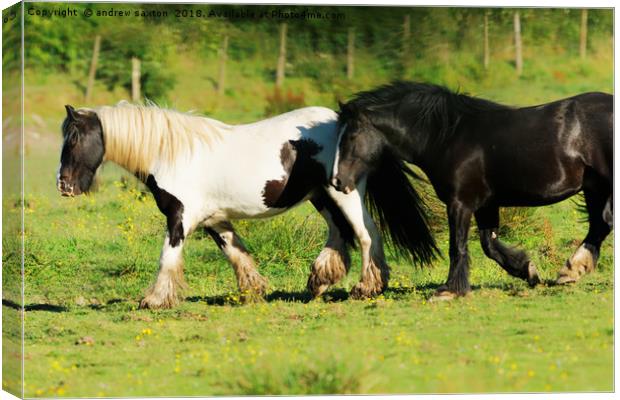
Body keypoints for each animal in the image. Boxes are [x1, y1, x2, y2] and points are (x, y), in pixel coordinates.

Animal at [332, 81, 612, 298]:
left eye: (351, 137)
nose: (337, 181)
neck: (447, 136)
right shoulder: (486, 204)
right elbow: (490, 245)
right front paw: (528, 271)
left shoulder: (460, 203)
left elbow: (457, 246)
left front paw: (449, 290)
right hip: (594, 187)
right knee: (600, 225)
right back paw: (571, 270)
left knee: (602, 223)